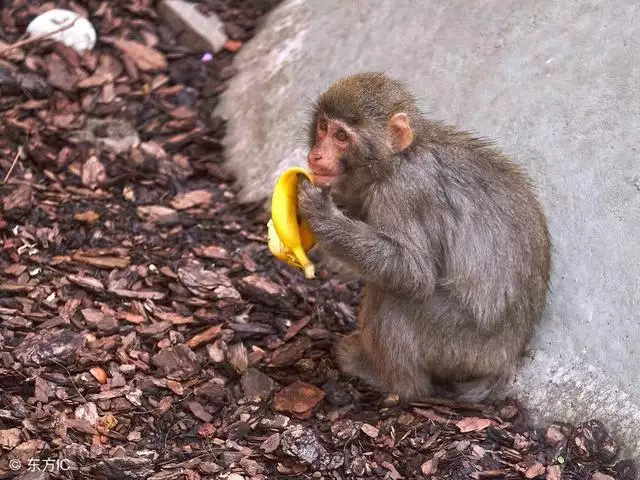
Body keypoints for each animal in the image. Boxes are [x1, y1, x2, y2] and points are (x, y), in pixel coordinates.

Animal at [296, 70, 552, 402]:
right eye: (323, 127)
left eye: (341, 137)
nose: (316, 155)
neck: (400, 158)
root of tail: (508, 357)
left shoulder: (404, 192)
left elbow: (413, 272)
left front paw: (320, 214)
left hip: (461, 347)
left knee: (397, 302)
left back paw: (392, 382)